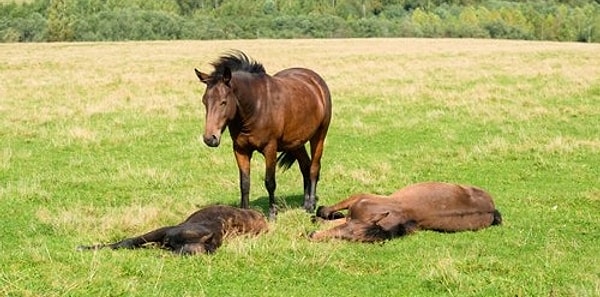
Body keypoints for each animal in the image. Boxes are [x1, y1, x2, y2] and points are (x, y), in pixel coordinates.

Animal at [195, 50, 332, 220]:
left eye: (224, 102)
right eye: (204, 101)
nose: (210, 138)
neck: (255, 107)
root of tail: (316, 81)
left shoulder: (270, 148)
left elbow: (270, 182)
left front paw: (272, 214)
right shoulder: (240, 149)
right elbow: (244, 183)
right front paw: (245, 212)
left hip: (319, 136)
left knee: (314, 168)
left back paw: (311, 206)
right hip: (296, 143)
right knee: (305, 167)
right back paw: (306, 204)